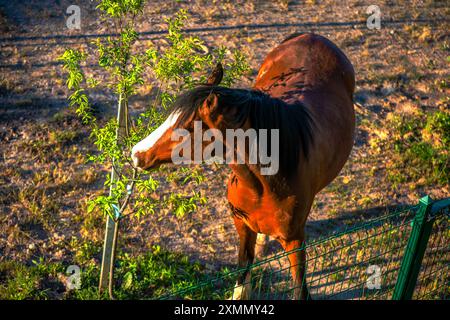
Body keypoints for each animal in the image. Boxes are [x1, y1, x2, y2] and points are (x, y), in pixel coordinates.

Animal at [130, 33, 356, 302]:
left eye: (186, 128)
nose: (136, 154)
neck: (266, 184)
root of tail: (311, 35)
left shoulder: (294, 241)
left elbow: (299, 288)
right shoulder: (243, 226)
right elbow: (241, 285)